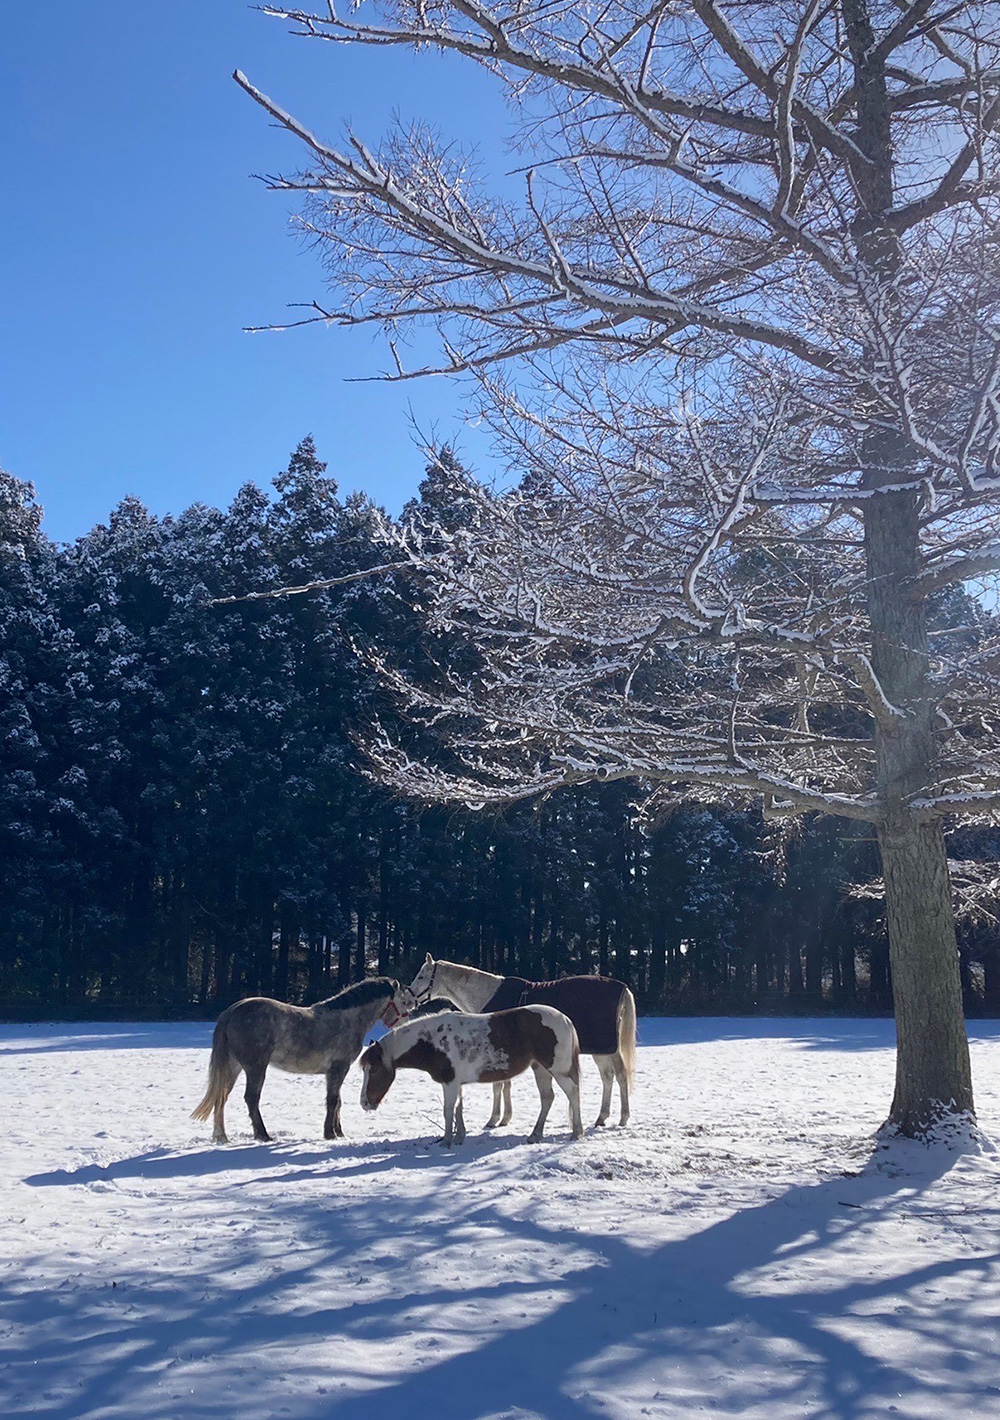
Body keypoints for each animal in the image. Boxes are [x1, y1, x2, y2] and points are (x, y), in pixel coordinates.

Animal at [191, 976, 403, 1141]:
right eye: (403, 998)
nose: (406, 1016)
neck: (347, 1020)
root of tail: (230, 1012)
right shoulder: (338, 1069)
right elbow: (333, 1101)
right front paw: (330, 1134)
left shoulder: (334, 1072)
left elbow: (338, 1101)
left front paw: (339, 1133)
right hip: (255, 1067)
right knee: (251, 1098)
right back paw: (263, 1135)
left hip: (234, 1067)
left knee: (221, 1097)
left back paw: (222, 1137)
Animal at [359, 1005, 582, 1147]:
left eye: (374, 1069)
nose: (364, 1103)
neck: (432, 1042)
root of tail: (565, 1019)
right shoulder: (456, 1083)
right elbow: (458, 1108)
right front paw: (459, 1137)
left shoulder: (449, 1082)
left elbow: (448, 1110)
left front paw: (446, 1141)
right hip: (540, 1069)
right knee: (547, 1098)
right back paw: (535, 1135)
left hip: (557, 1070)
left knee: (572, 1093)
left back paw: (576, 1132)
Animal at [403, 954, 633, 1130]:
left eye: (422, 975)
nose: (407, 1000)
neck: (487, 993)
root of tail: (623, 988)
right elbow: (506, 1084)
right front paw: (505, 1118)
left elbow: (498, 1086)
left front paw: (494, 1119)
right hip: (600, 1050)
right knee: (608, 1077)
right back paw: (602, 1117)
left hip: (607, 1049)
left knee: (620, 1076)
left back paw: (623, 1118)